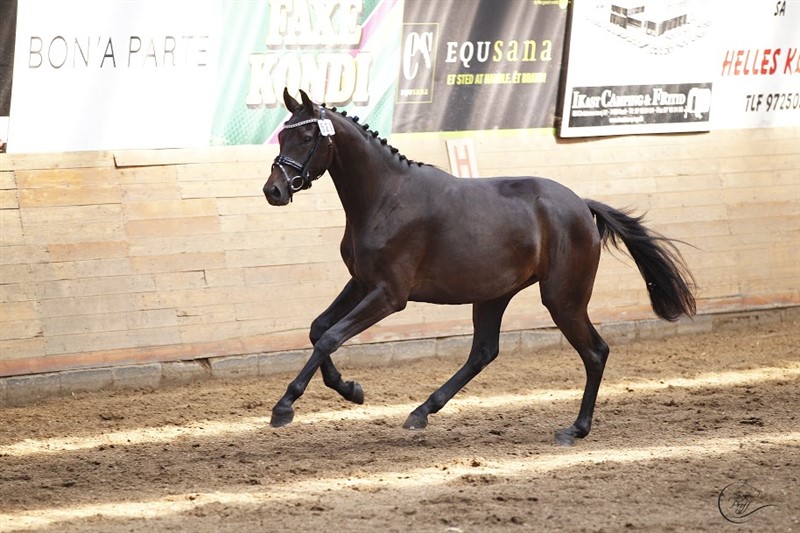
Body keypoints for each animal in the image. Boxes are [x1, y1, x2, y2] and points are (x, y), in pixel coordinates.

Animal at [262, 88, 692, 444]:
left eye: (306, 138)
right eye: (282, 136)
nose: (273, 190)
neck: (386, 196)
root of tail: (582, 206)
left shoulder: (388, 295)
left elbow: (332, 336)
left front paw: (285, 406)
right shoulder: (361, 282)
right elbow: (319, 329)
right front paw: (350, 389)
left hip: (563, 300)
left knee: (596, 352)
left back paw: (576, 429)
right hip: (494, 295)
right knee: (484, 352)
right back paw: (422, 412)